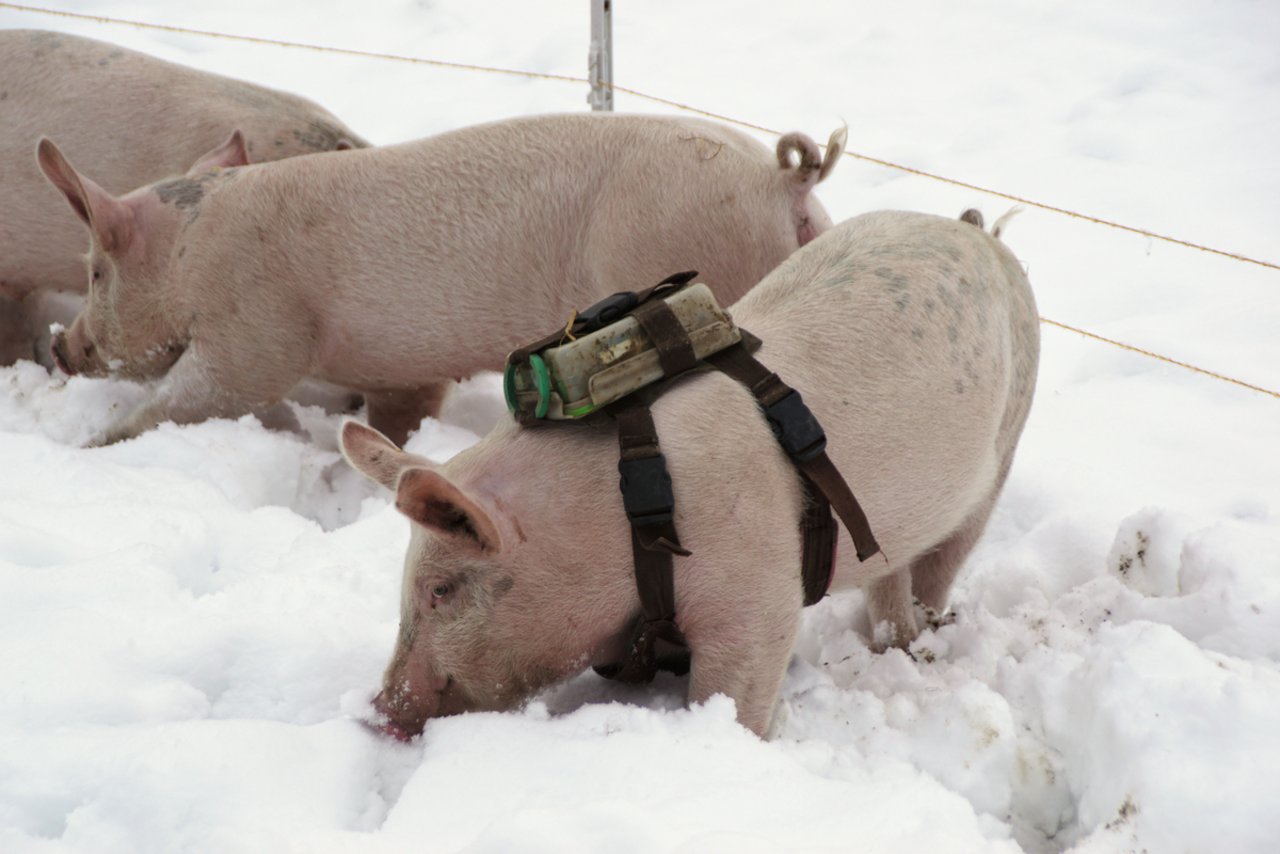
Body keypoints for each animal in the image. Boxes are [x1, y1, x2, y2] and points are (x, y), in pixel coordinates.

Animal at [40, 112, 844, 448]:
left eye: (95, 270)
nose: (59, 346)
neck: (191, 252)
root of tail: (782, 181)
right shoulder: (399, 367)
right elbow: (399, 413)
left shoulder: (256, 324)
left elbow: (215, 388)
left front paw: (92, 445)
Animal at [340, 208, 1039, 742]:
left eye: (440, 590)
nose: (376, 713)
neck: (626, 517)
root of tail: (973, 230)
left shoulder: (760, 594)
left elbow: (734, 689)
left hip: (1009, 435)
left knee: (946, 557)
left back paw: (919, 643)